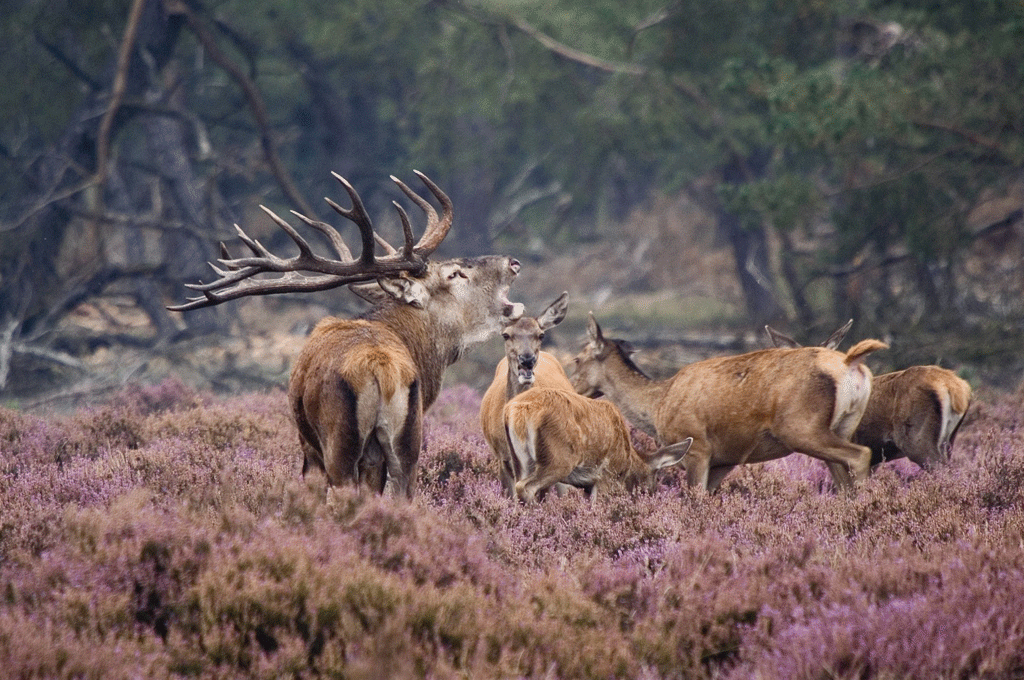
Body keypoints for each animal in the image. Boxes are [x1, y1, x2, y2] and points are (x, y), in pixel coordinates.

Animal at [173, 171, 524, 499]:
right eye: (454, 273)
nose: (513, 262)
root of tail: (380, 368)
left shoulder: (309, 445)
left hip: (338, 442)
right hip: (406, 443)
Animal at [569, 313, 888, 493]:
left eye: (576, 359)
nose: (572, 390)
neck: (657, 405)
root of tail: (850, 365)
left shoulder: (697, 446)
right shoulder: (725, 458)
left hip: (802, 426)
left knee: (860, 455)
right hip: (842, 425)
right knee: (843, 481)